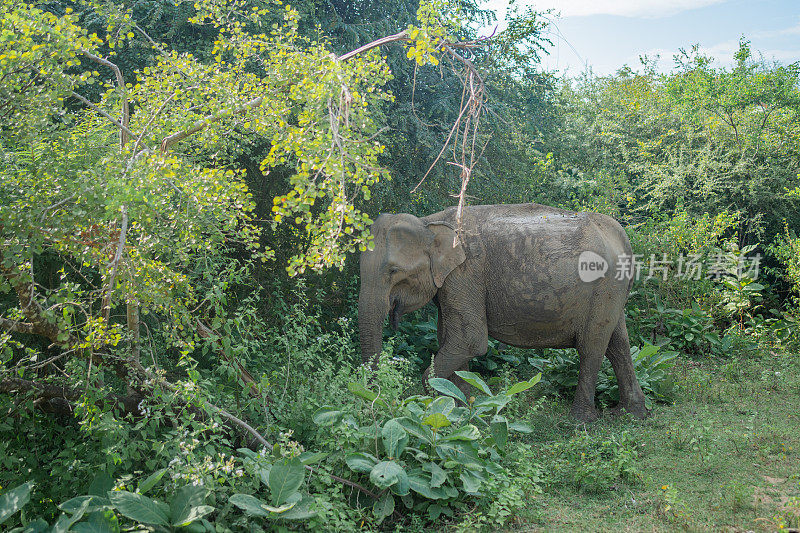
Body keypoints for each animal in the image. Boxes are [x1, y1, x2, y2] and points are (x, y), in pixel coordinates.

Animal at [358, 202, 648, 422]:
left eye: (393, 271)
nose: (373, 398)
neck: (429, 222)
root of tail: (622, 238)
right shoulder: (453, 284)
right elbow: (450, 338)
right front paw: (465, 402)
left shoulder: (466, 274)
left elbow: (470, 340)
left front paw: (454, 401)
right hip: (612, 292)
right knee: (619, 344)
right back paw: (631, 414)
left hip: (603, 287)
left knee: (592, 348)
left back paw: (580, 421)